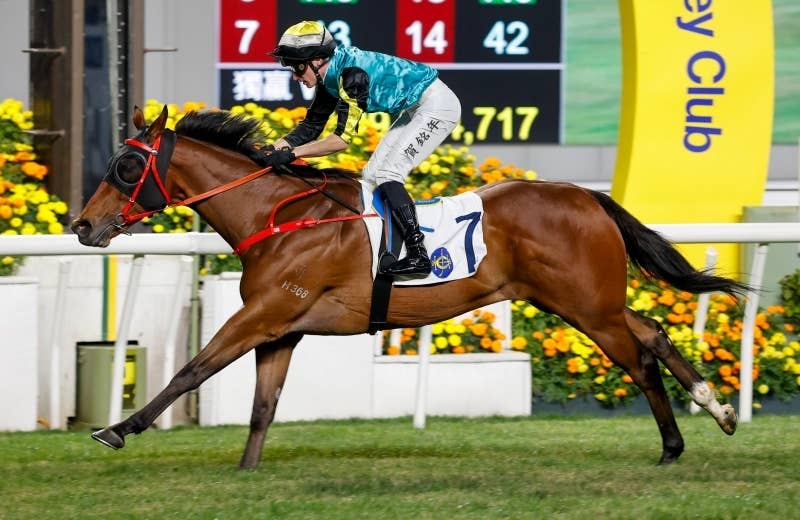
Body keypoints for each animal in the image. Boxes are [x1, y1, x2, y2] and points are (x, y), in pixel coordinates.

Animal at [71, 105, 748, 469]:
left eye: (125, 167)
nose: (82, 226)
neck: (281, 215)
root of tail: (588, 196)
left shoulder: (263, 314)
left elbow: (193, 370)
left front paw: (116, 429)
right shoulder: (282, 329)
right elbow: (264, 405)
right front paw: (246, 470)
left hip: (587, 306)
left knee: (637, 357)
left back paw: (675, 441)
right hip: (584, 301)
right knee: (652, 332)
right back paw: (714, 413)